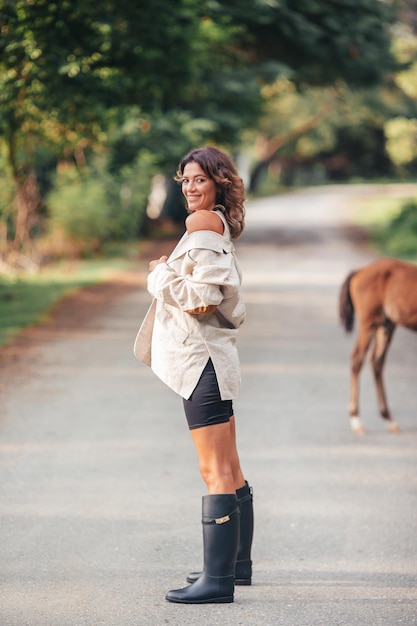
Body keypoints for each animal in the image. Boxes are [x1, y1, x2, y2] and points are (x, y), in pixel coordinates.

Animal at [338, 256, 416, 432]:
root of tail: (360, 271)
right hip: (369, 323)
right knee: (358, 358)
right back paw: (356, 420)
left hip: (386, 324)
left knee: (377, 361)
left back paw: (388, 419)